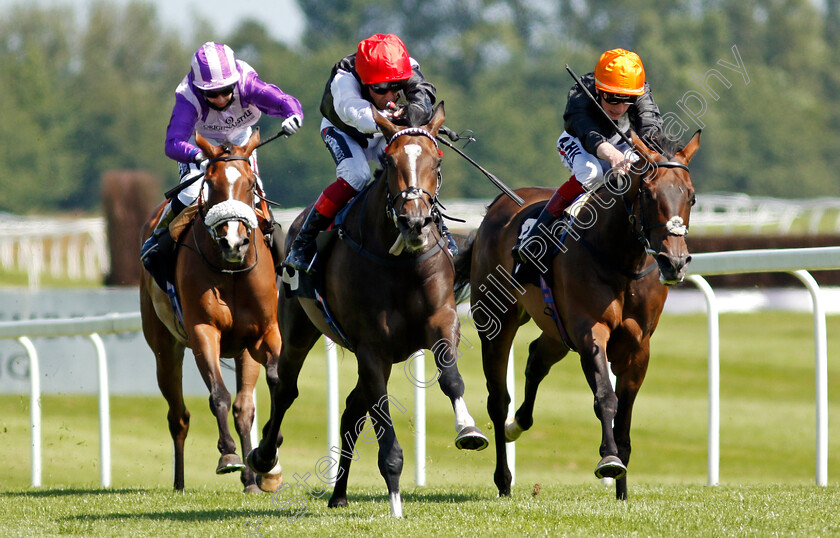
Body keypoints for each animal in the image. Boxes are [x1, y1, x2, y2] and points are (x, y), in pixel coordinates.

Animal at [138, 129, 282, 490]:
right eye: (212, 183)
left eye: (250, 184)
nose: (234, 242)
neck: (231, 270)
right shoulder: (204, 331)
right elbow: (218, 395)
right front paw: (228, 455)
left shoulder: (263, 333)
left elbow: (275, 382)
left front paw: (267, 458)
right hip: (165, 348)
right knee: (178, 416)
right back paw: (179, 482)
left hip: (243, 350)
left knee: (244, 408)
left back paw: (251, 477)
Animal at [246, 100, 488, 516]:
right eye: (390, 162)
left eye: (436, 161)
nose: (414, 222)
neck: (398, 262)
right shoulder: (371, 347)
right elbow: (381, 417)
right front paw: (395, 502)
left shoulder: (441, 322)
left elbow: (450, 377)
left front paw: (468, 428)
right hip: (297, 329)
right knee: (286, 389)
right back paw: (264, 458)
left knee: (350, 411)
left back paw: (339, 493)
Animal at [466, 130, 704, 498]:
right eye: (648, 194)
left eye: (690, 197)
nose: (674, 262)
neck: (622, 258)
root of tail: (499, 204)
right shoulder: (591, 331)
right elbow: (606, 397)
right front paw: (609, 459)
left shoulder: (638, 345)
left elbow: (625, 414)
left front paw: (622, 492)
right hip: (497, 319)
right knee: (497, 399)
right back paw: (504, 478)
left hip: (555, 327)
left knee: (536, 358)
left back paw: (518, 423)